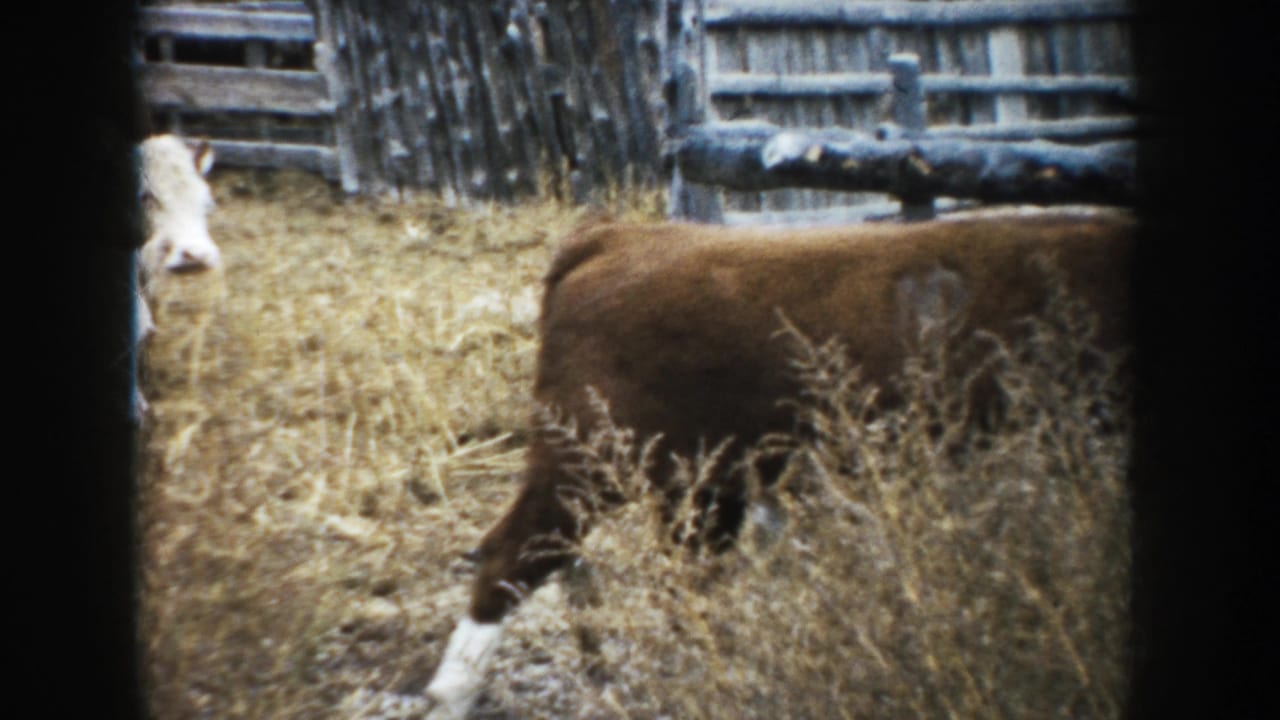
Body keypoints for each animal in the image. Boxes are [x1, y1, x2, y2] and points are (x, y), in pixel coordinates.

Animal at [424, 210, 1136, 718]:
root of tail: (615, 236)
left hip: (699, 490)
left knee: (679, 583)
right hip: (584, 462)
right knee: (513, 555)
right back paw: (450, 698)